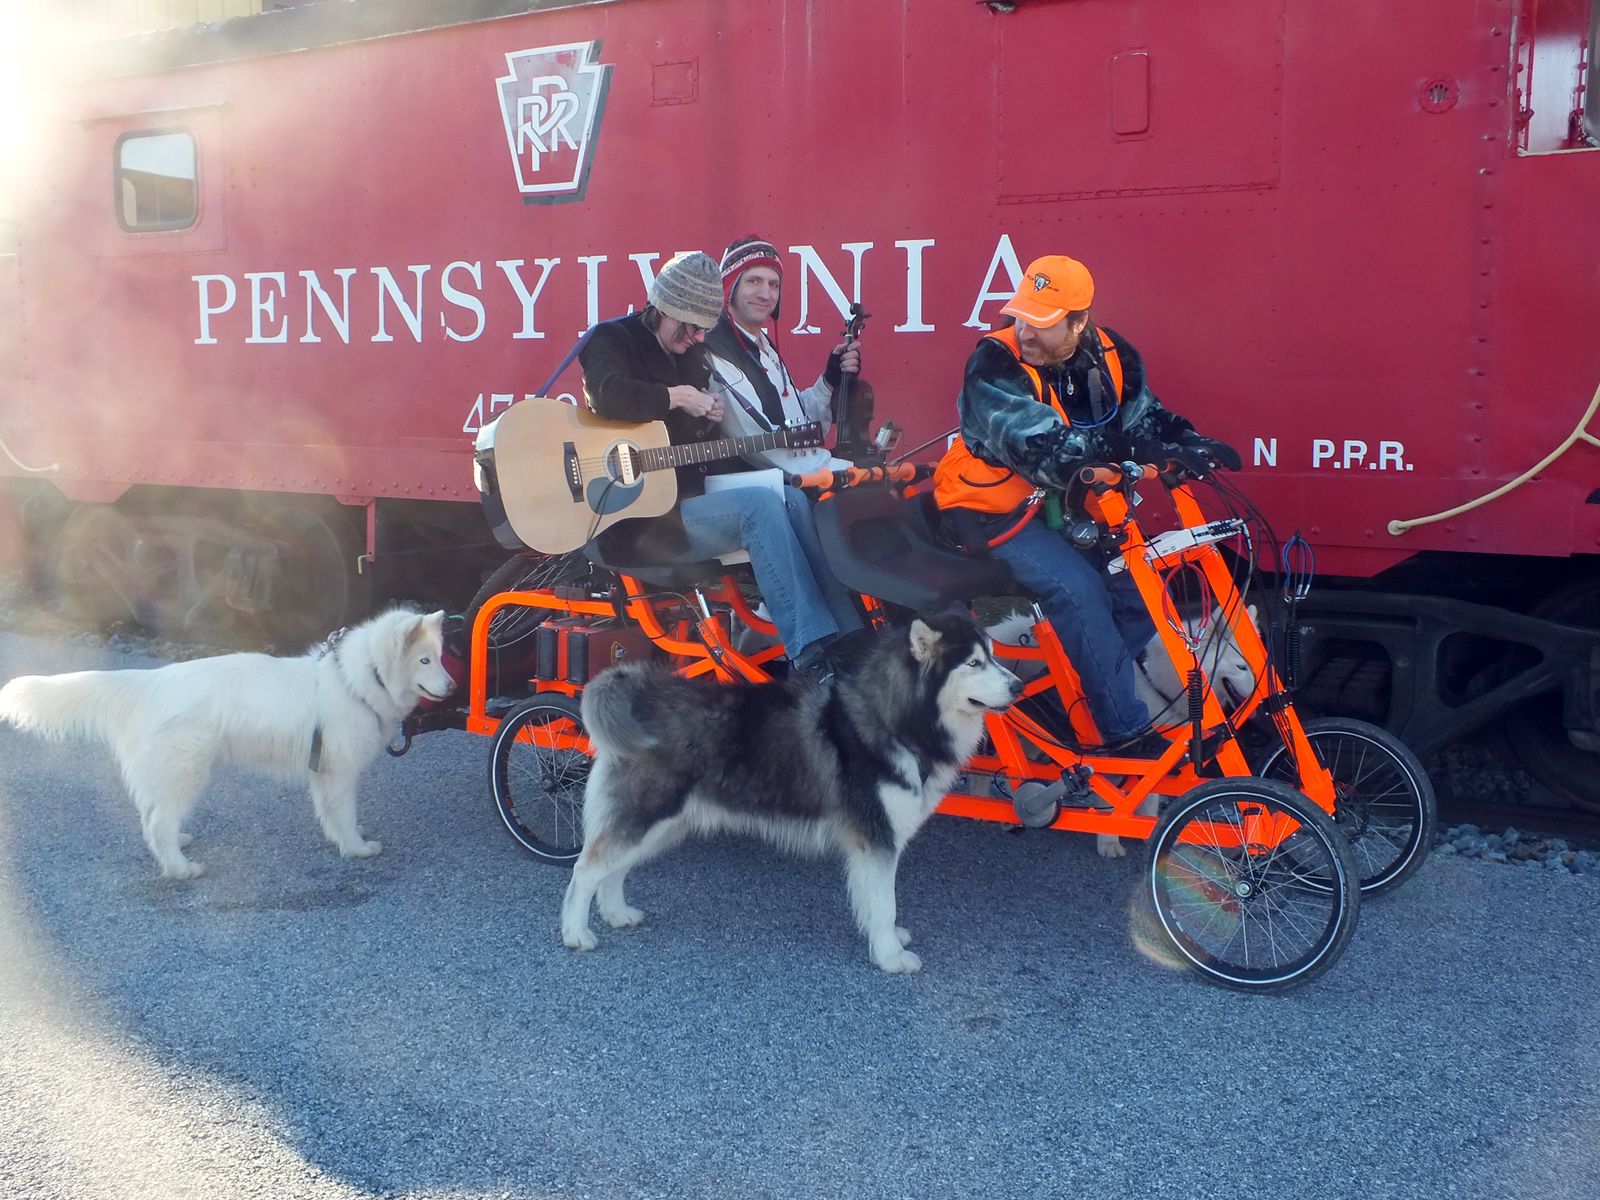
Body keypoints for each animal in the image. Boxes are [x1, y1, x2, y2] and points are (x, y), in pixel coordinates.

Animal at [0, 609, 454, 879]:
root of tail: (151, 682)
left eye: (439, 657)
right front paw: (357, 849)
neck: (356, 682)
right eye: (424, 661)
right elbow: (342, 814)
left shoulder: (324, 773)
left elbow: (333, 815)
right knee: (158, 821)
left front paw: (346, 838)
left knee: (152, 818)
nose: (452, 688)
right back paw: (181, 869)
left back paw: (176, 849)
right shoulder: (338, 772)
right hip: (187, 772)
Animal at [560, 612, 1022, 973]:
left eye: (993, 655)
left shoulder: (877, 843)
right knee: (586, 870)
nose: (1018, 686)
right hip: (649, 814)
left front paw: (886, 939)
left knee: (613, 870)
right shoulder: (876, 837)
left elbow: (877, 904)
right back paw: (576, 933)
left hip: (662, 825)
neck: (897, 718)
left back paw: (618, 914)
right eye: (974, 662)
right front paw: (891, 957)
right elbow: (885, 902)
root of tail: (645, 694)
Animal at [985, 606, 1260, 858]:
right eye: (1241, 667)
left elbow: (1149, 795)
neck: (1158, 679)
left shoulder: (1156, 756)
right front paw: (1109, 841)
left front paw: (1149, 833)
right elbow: (1110, 801)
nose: (1260, 698)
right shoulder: (1110, 751)